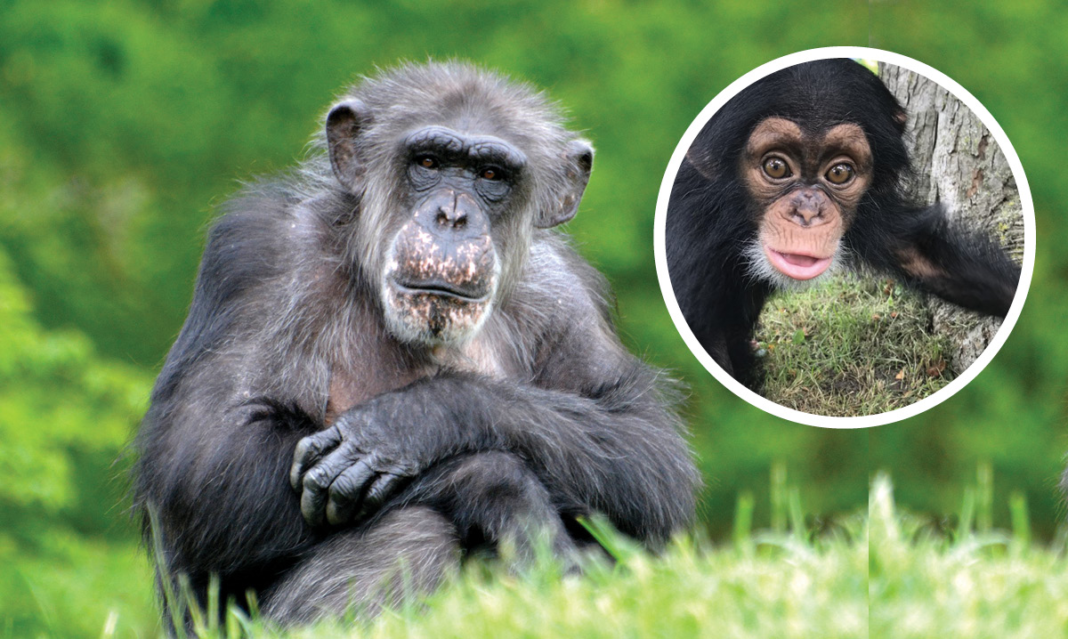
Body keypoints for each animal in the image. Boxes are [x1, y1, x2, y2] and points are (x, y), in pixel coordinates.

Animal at [133, 61, 699, 627]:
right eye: (428, 161)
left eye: (490, 175)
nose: (452, 215)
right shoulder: (261, 255)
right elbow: (209, 459)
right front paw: (494, 485)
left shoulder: (563, 294)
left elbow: (648, 450)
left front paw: (416, 421)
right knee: (412, 532)